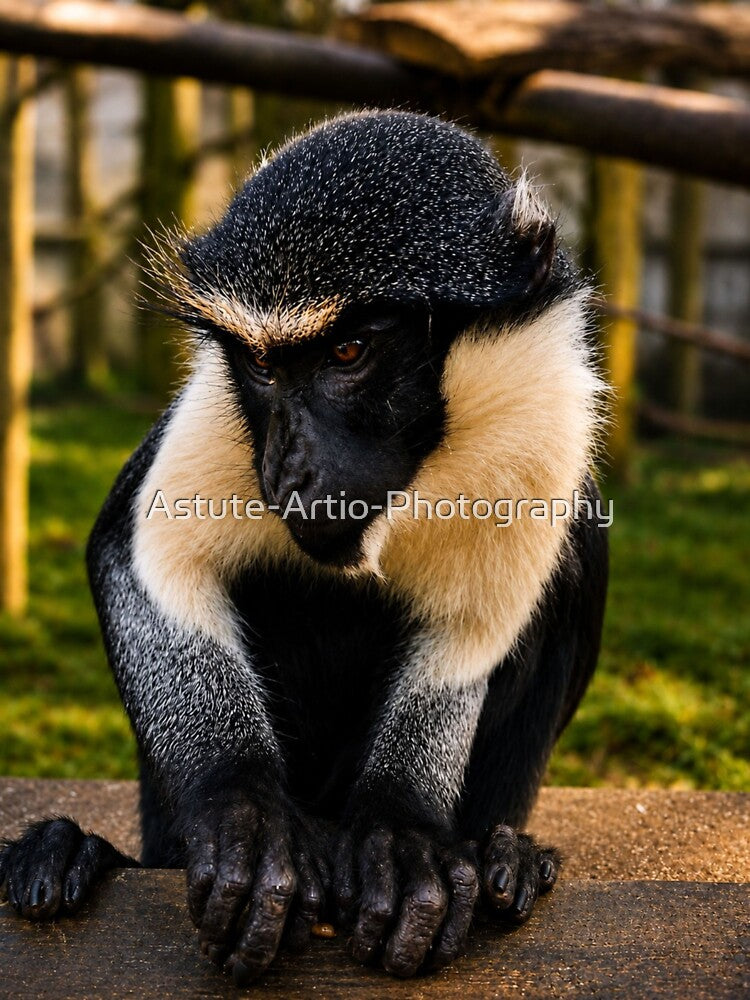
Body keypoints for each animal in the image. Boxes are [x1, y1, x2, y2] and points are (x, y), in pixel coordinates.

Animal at [0, 111, 608, 984]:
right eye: (262, 365)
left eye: (349, 353)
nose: (286, 467)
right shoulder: (219, 409)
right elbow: (147, 562)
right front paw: (246, 813)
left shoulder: (545, 417)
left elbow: (473, 627)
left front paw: (400, 832)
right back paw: (73, 854)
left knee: (581, 553)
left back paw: (507, 857)